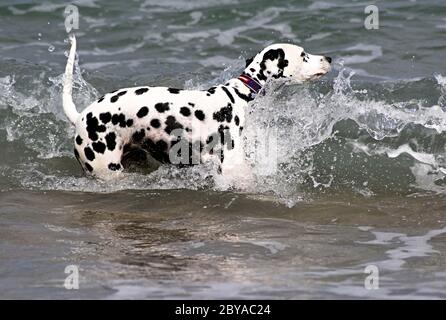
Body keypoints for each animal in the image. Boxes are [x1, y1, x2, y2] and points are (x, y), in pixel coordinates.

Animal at [64, 34, 332, 185]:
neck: (238, 96)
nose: (328, 57)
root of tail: (81, 117)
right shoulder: (231, 166)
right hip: (107, 170)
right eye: (303, 55)